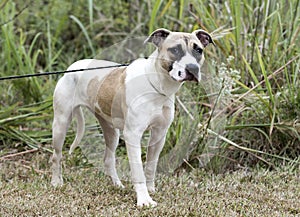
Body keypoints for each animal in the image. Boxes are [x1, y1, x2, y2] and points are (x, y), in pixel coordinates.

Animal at [52, 28, 216, 207]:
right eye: (175, 50)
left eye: (198, 50)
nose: (192, 68)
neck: (157, 86)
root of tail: (72, 67)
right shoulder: (133, 135)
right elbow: (138, 171)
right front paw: (144, 200)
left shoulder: (159, 135)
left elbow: (150, 166)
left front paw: (151, 189)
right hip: (60, 124)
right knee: (56, 156)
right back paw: (56, 182)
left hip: (111, 131)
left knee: (108, 159)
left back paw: (117, 185)